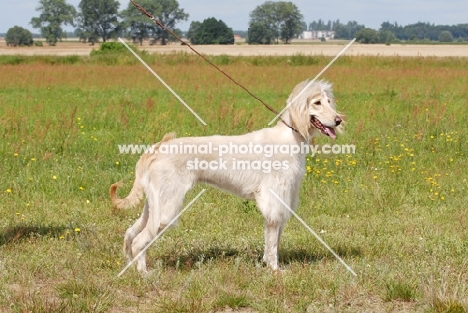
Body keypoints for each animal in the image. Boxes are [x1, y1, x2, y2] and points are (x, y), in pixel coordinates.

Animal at [109, 80, 344, 272]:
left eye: (329, 101)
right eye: (317, 103)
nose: (338, 120)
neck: (290, 137)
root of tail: (157, 149)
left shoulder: (284, 200)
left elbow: (275, 238)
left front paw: (270, 264)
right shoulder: (274, 199)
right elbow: (273, 241)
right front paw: (275, 269)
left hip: (155, 203)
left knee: (130, 233)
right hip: (167, 207)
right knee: (139, 241)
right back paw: (144, 273)